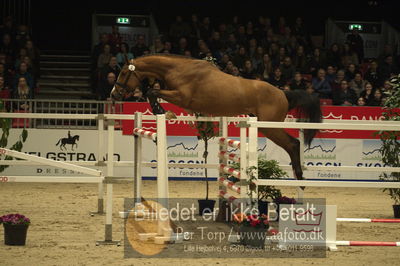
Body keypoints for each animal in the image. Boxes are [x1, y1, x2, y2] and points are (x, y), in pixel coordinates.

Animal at [110, 54, 322, 180]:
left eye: (123, 72)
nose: (113, 94)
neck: (178, 69)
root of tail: (283, 93)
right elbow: (151, 93)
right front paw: (162, 111)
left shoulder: (182, 97)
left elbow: (152, 93)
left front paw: (162, 111)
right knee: (293, 144)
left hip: (269, 126)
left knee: (293, 143)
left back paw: (300, 177)